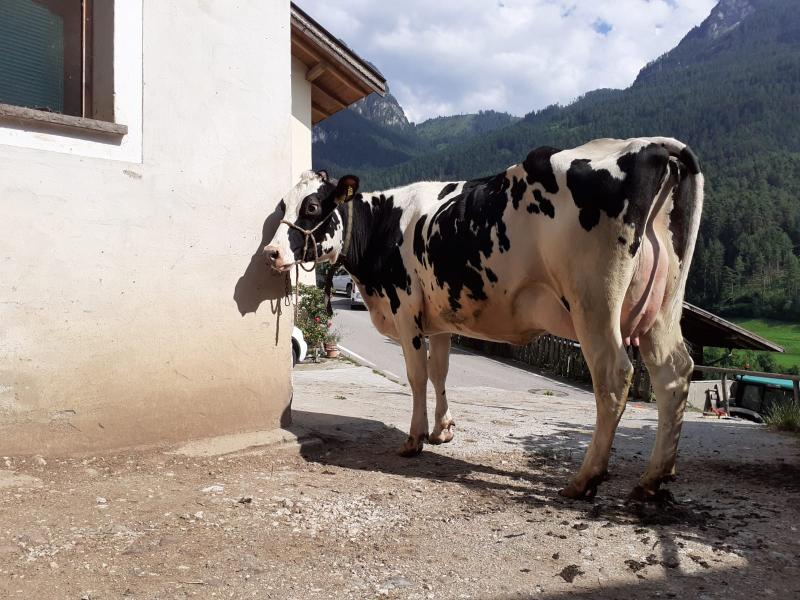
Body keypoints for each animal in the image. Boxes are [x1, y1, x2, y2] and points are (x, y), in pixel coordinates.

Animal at [266, 138, 704, 500]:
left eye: (312, 207)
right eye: (282, 206)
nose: (271, 253)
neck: (384, 225)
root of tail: (650, 144)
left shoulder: (405, 311)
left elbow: (417, 376)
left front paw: (414, 439)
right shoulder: (439, 320)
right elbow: (440, 372)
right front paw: (443, 429)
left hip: (594, 303)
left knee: (613, 376)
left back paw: (585, 479)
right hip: (662, 308)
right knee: (673, 374)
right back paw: (653, 479)